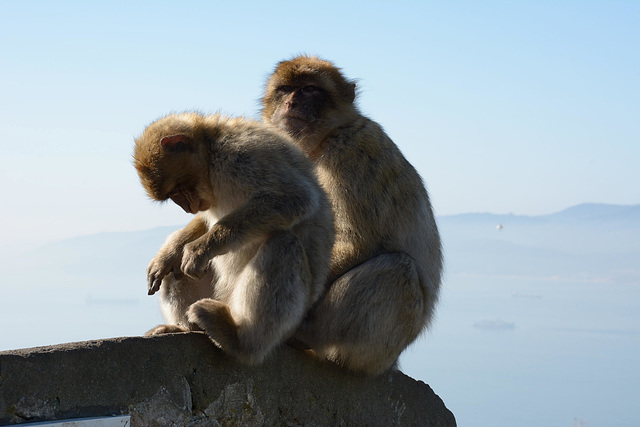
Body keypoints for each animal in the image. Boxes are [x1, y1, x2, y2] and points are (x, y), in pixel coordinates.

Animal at [132, 112, 332, 366]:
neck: (212, 147)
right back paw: (184, 326)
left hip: (286, 320)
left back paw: (240, 341)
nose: (187, 207)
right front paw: (171, 250)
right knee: (175, 269)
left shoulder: (241, 157)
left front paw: (200, 249)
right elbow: (200, 225)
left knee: (283, 243)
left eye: (178, 190)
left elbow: (294, 198)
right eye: (174, 195)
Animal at [262, 55, 444, 376]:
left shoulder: (350, 153)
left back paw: (303, 334)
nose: (292, 102)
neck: (324, 139)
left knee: (398, 270)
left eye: (309, 90)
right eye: (285, 89)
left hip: (374, 349)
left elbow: (357, 242)